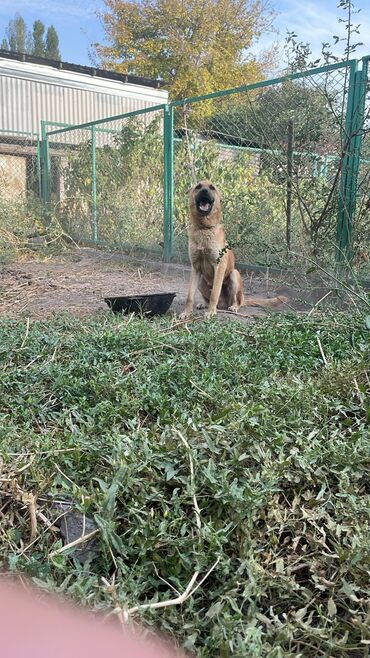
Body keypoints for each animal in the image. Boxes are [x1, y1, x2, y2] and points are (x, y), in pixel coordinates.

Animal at [181, 181, 288, 320]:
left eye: (212, 188)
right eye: (198, 186)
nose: (204, 191)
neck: (204, 228)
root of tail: (222, 305)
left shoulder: (219, 266)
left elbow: (215, 292)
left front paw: (211, 312)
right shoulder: (195, 268)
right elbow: (189, 296)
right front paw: (187, 313)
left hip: (234, 275)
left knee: (237, 301)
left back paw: (233, 307)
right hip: (201, 281)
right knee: (207, 298)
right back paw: (204, 304)